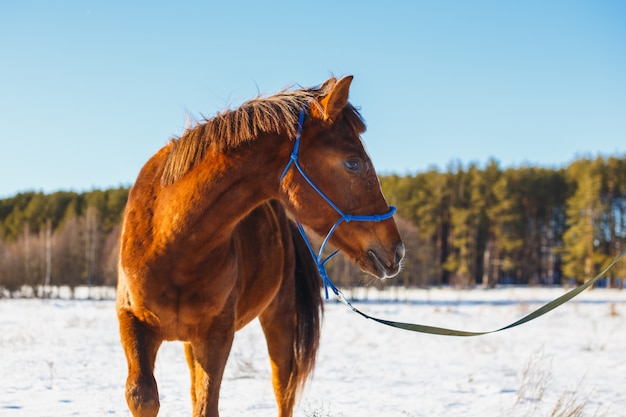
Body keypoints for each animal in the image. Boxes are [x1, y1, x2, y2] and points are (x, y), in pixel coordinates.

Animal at [114, 75, 402, 416]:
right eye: (353, 163)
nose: (397, 250)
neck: (171, 245)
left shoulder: (215, 335)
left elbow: (207, 405)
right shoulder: (133, 323)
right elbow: (143, 396)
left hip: (279, 320)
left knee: (283, 389)